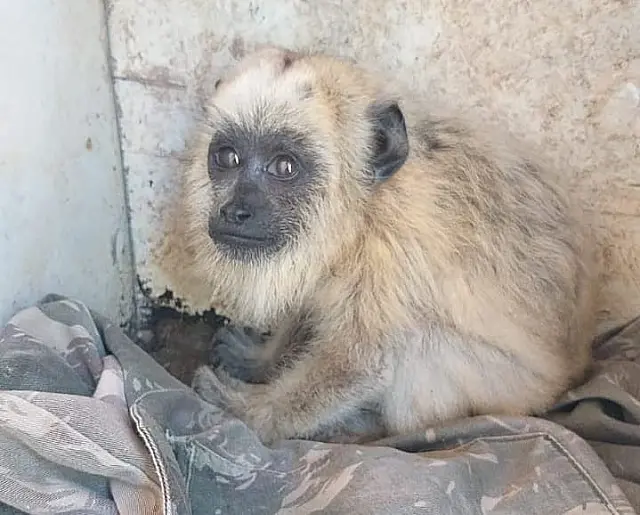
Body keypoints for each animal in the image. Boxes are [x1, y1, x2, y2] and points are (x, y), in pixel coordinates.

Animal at [157, 46, 599, 445]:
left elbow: (358, 363)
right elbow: (309, 305)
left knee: (420, 344)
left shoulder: (394, 247)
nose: (236, 211)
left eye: (284, 167)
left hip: (510, 390)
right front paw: (262, 359)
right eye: (228, 157)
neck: (361, 210)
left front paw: (244, 412)